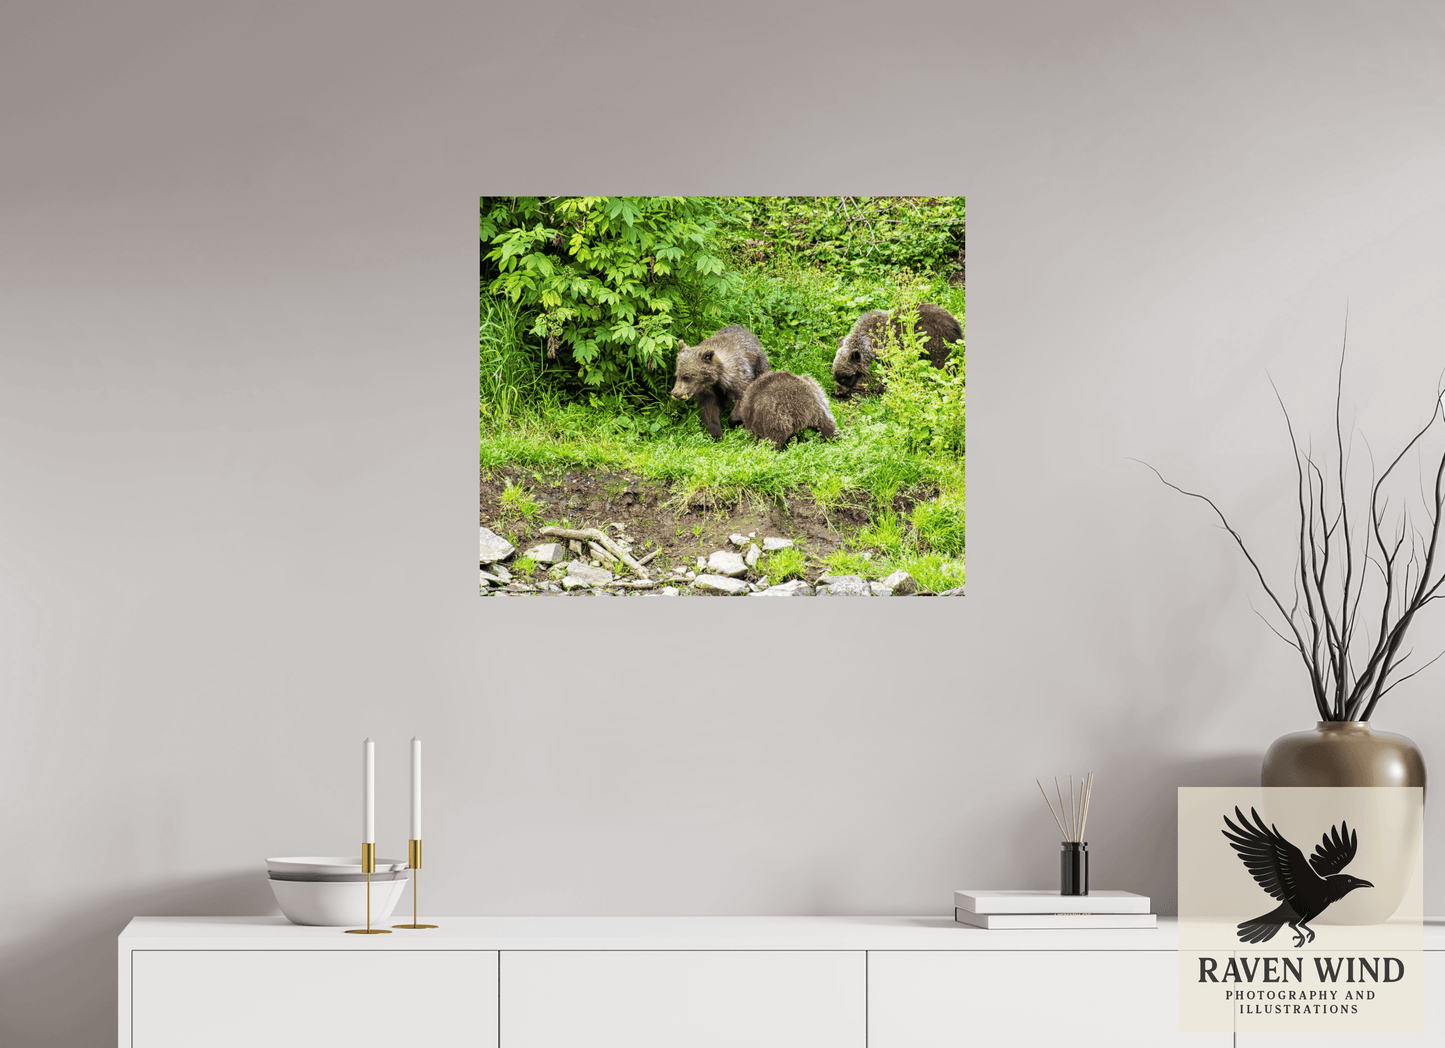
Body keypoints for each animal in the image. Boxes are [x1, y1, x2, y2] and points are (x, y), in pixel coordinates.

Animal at [830, 302, 962, 399]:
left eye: (845, 378)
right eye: (836, 376)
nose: (838, 393)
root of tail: (955, 325)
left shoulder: (888, 350)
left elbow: (889, 371)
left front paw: (881, 389)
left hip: (935, 343)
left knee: (943, 366)